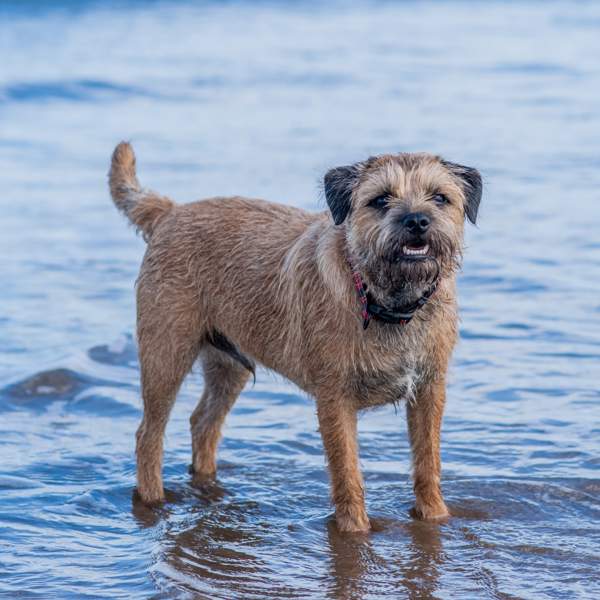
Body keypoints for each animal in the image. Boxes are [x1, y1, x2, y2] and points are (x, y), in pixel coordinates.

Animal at [109, 142, 482, 536]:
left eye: (439, 198)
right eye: (381, 199)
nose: (417, 221)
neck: (384, 301)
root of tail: (171, 212)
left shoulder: (429, 391)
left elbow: (428, 462)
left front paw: (435, 516)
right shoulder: (335, 400)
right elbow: (347, 473)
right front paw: (354, 530)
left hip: (228, 365)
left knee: (203, 423)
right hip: (165, 357)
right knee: (149, 435)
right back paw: (153, 500)